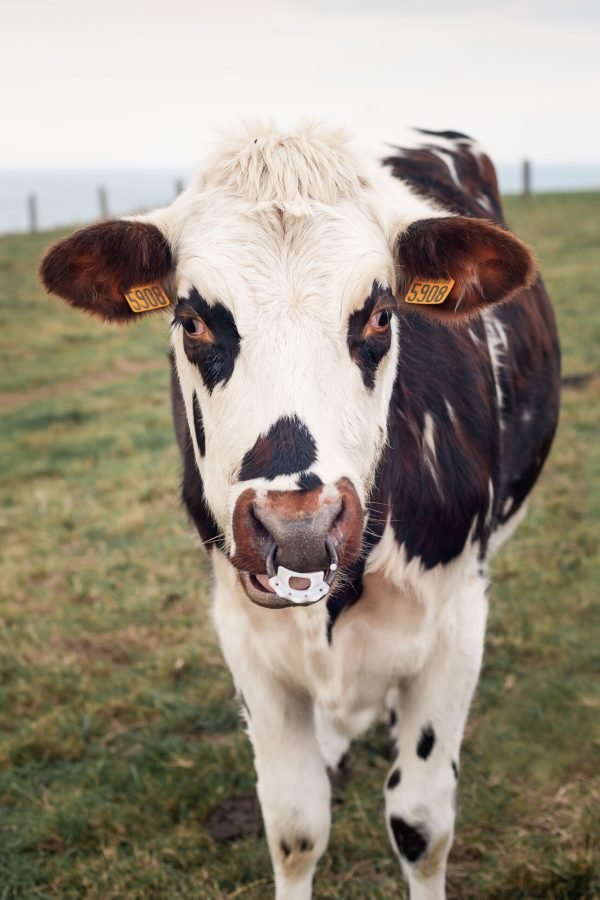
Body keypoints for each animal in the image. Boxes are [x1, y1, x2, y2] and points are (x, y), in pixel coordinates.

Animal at [39, 125, 560, 900]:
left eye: (381, 314)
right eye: (191, 321)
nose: (299, 530)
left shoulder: (460, 621)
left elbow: (422, 825)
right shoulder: (245, 635)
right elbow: (294, 827)